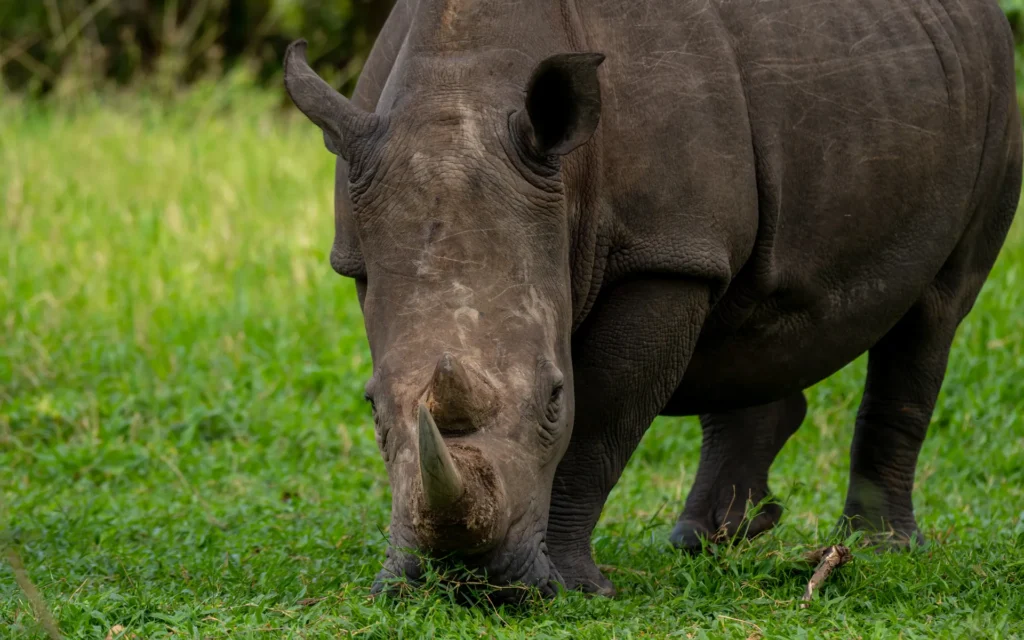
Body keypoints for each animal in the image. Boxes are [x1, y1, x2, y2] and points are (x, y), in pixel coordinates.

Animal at [283, 0, 1021, 597]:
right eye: (370, 407)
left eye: (553, 399)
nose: (461, 581)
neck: (464, 89)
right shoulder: (363, 257)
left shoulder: (665, 252)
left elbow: (602, 415)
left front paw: (573, 588)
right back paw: (708, 542)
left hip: (998, 89)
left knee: (936, 312)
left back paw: (880, 549)